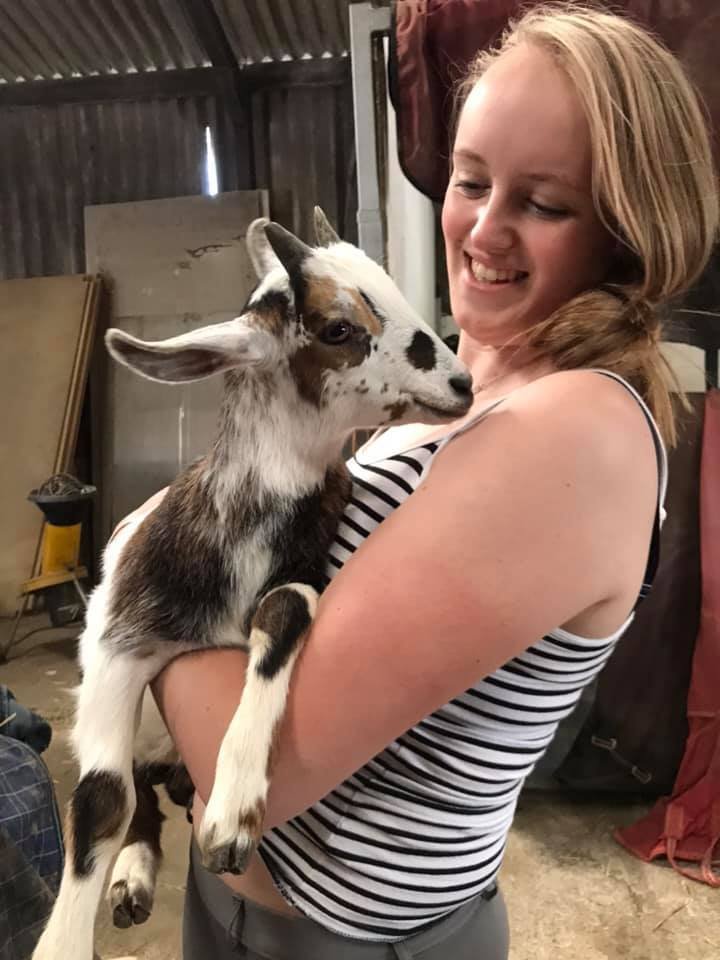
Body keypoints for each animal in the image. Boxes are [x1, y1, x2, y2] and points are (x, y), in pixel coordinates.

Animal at [33, 210, 476, 960]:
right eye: (338, 328)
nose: (463, 382)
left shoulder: (298, 579)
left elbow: (282, 610)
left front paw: (233, 812)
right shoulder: (118, 643)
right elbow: (101, 798)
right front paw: (63, 942)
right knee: (139, 791)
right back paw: (132, 877)